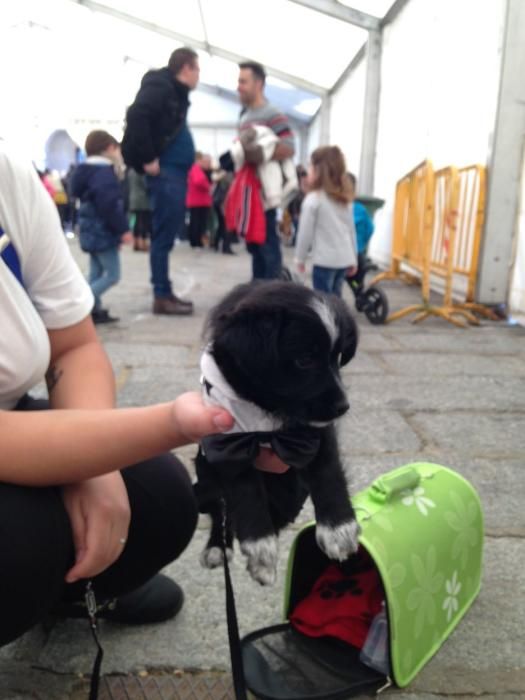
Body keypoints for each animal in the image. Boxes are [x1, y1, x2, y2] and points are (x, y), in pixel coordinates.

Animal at [193, 280, 360, 584]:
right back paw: (217, 547)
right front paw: (260, 546)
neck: (268, 412)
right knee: (220, 510)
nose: (343, 406)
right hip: (205, 481)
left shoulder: (314, 434)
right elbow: (246, 490)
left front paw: (339, 530)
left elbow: (327, 472)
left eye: (339, 356)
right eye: (304, 359)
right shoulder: (229, 440)